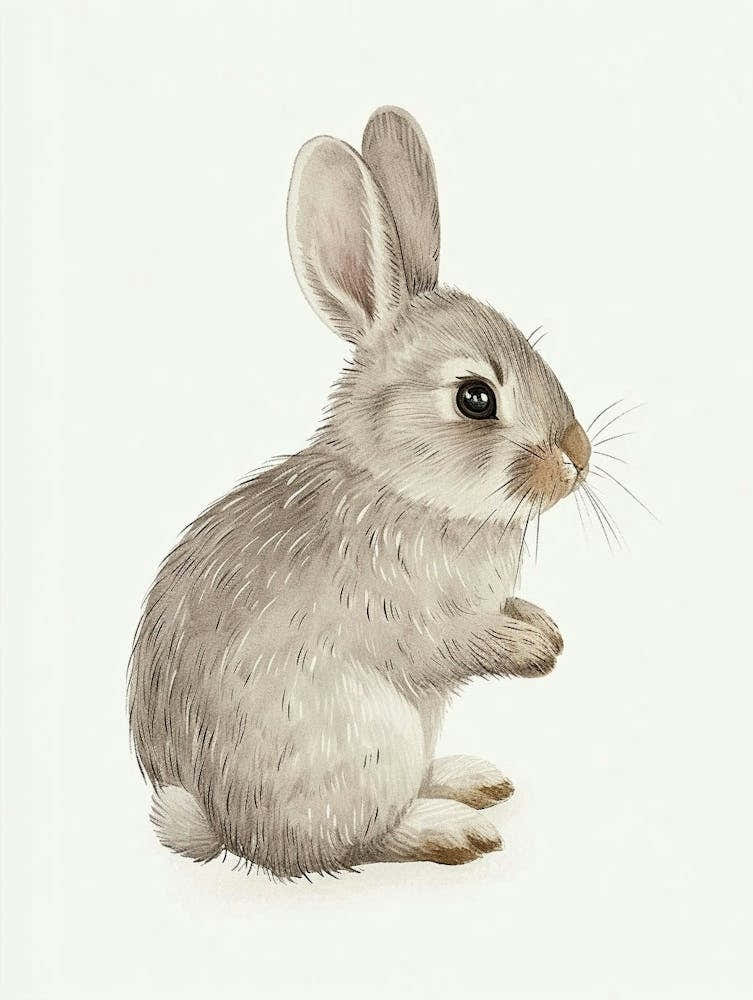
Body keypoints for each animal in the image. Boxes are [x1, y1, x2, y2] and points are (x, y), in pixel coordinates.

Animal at [128, 105, 593, 879]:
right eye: (475, 397)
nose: (577, 458)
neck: (400, 487)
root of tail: (220, 825)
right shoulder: (411, 615)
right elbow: (453, 643)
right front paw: (534, 648)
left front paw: (544, 626)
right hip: (370, 743)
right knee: (354, 842)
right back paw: (451, 829)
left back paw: (469, 779)